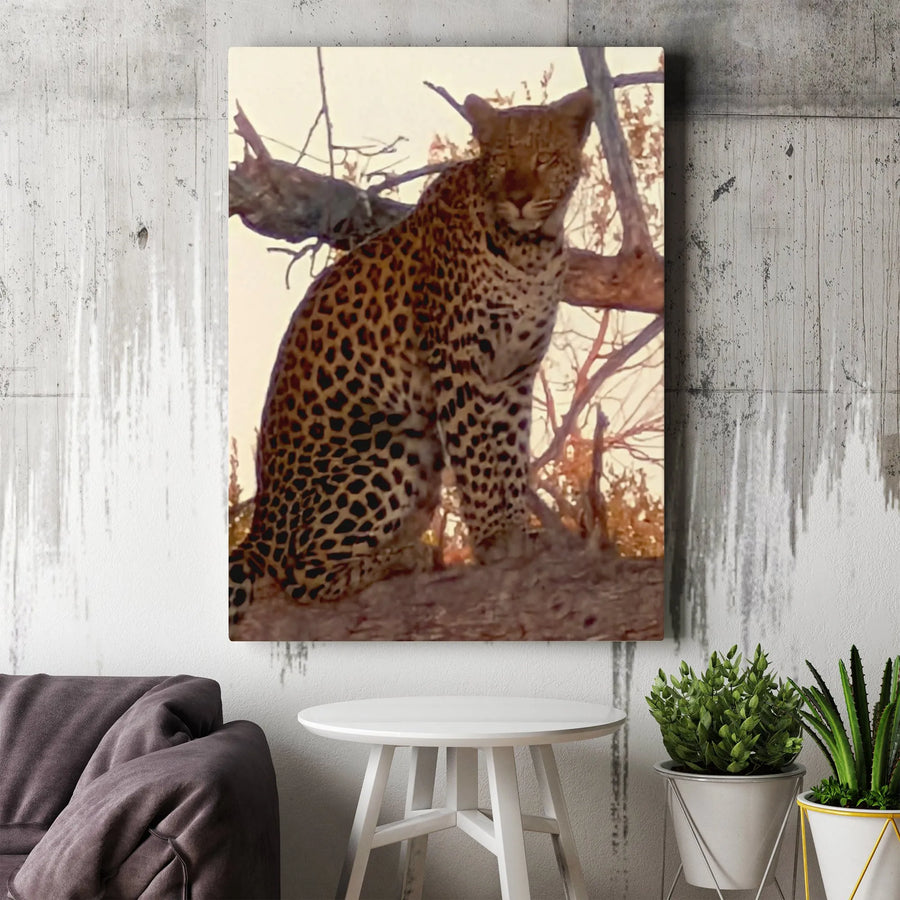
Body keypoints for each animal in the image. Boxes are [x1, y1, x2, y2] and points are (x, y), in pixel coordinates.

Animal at [229, 87, 595, 624]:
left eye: (545, 158)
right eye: (501, 160)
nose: (520, 198)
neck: (532, 250)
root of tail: (258, 531)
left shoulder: (514, 374)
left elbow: (510, 453)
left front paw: (513, 529)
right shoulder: (459, 364)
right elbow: (478, 455)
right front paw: (493, 539)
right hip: (395, 440)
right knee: (300, 574)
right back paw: (405, 558)